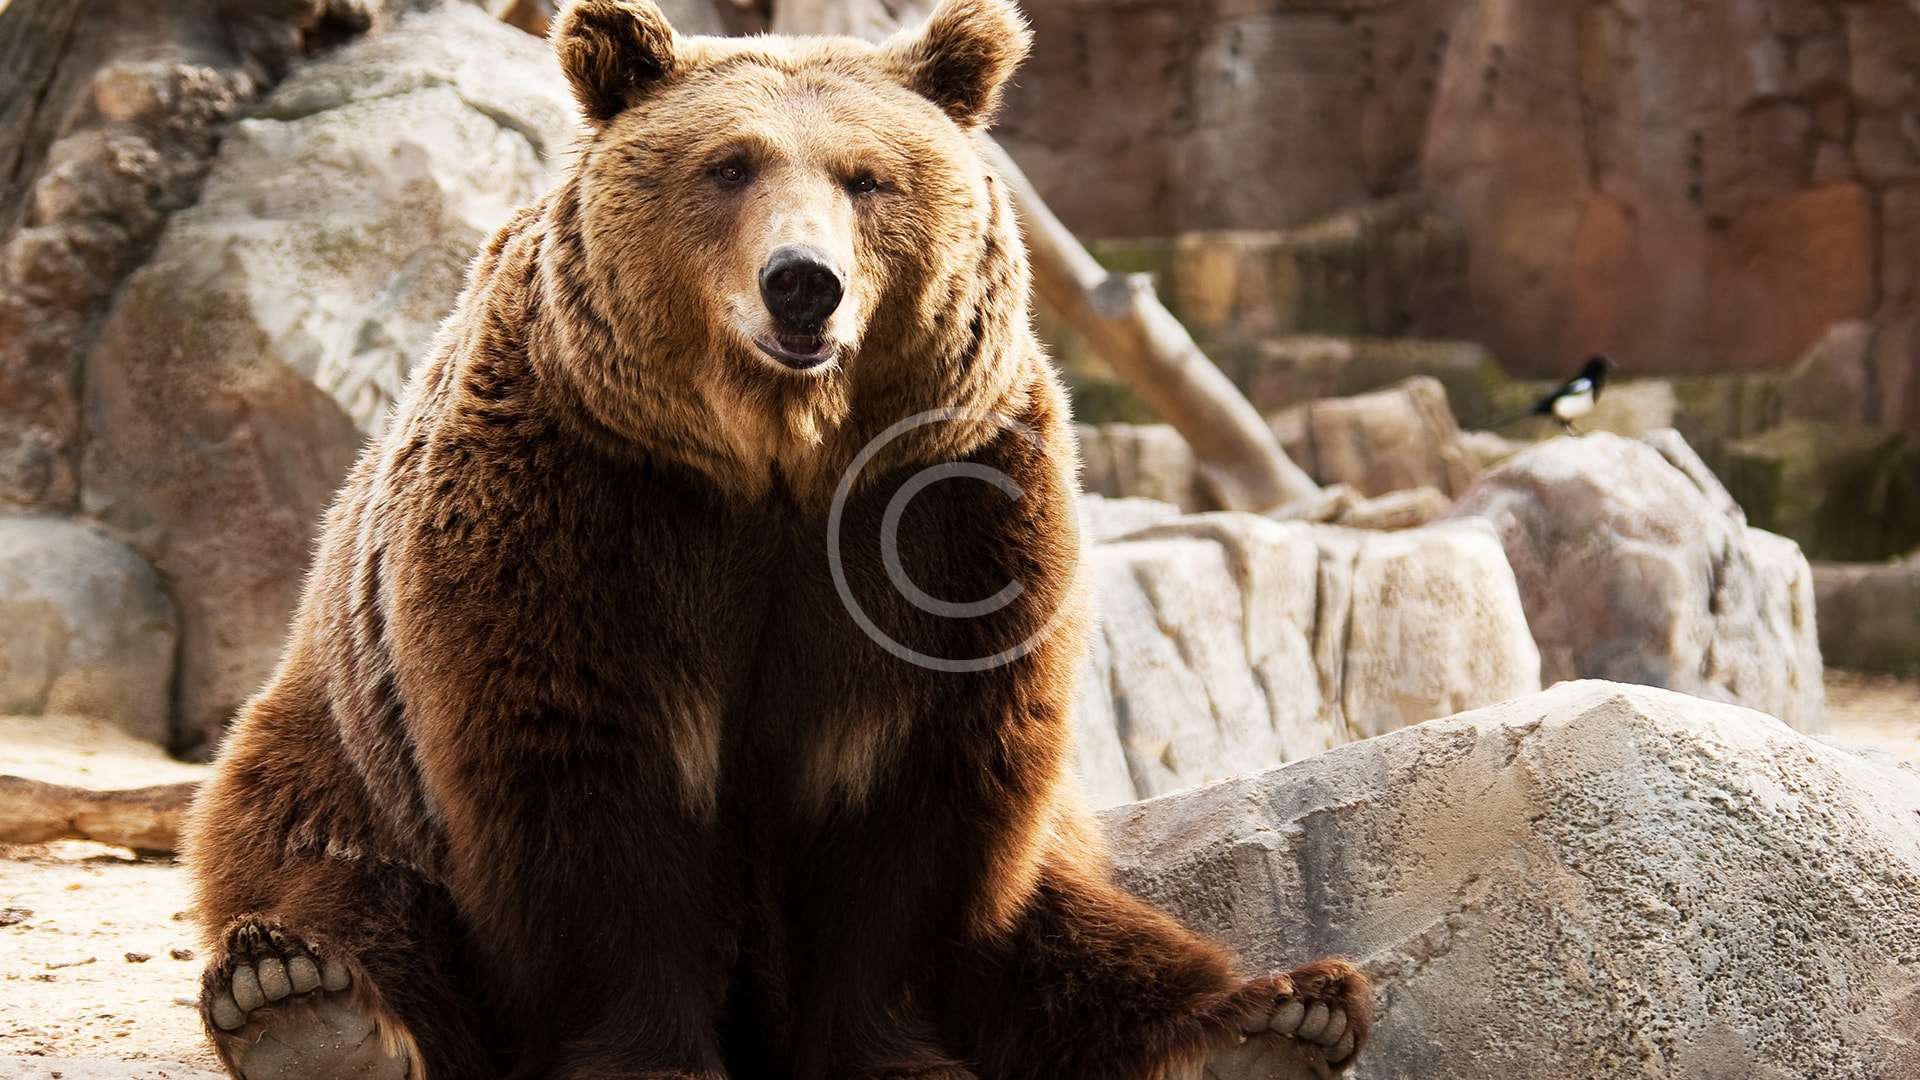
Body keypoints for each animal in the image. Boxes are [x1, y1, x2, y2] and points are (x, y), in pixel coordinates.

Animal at [181, 1, 1372, 1078]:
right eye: (729, 166)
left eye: (867, 177)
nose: (804, 282)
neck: (779, 458)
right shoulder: (581, 497)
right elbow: (588, 781)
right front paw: (646, 1059)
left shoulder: (948, 510)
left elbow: (917, 793)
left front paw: (889, 1054)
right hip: (342, 754)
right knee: (330, 872)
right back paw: (306, 1003)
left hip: (1061, 844)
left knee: (1079, 923)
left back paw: (1273, 1021)